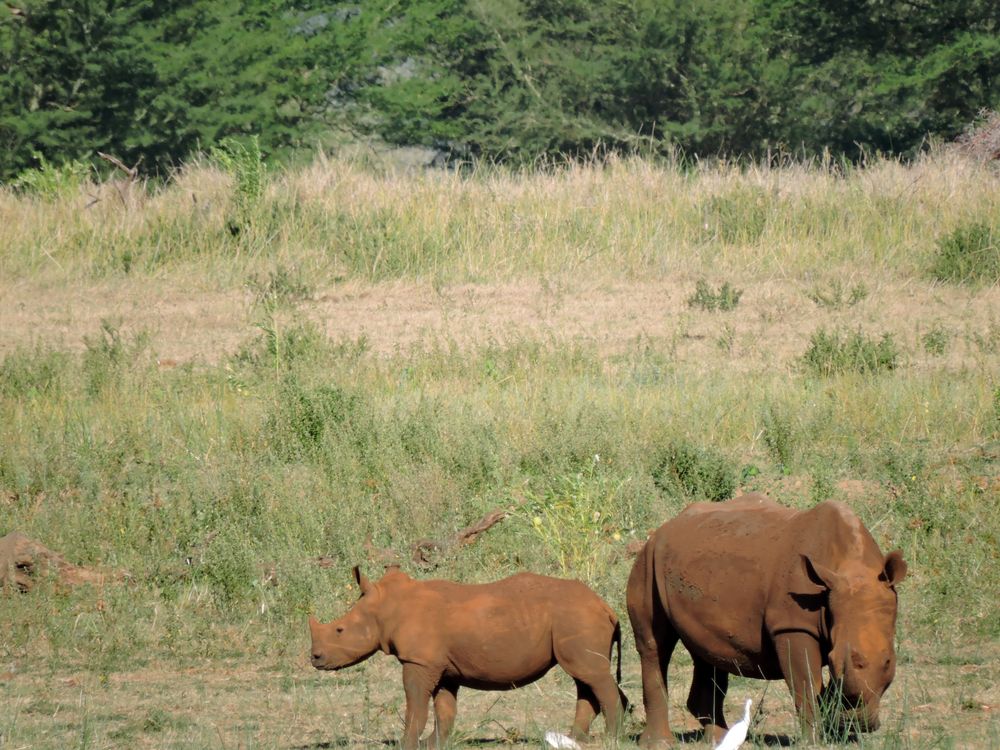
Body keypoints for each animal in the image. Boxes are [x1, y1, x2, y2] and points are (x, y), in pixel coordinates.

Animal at [308, 568, 628, 748]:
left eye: (339, 630)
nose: (314, 658)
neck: (387, 606)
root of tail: (605, 606)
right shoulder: (441, 666)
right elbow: (444, 709)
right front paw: (433, 744)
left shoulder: (418, 661)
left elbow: (416, 705)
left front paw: (406, 744)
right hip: (574, 619)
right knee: (585, 679)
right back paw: (574, 739)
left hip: (576, 616)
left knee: (591, 676)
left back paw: (609, 739)